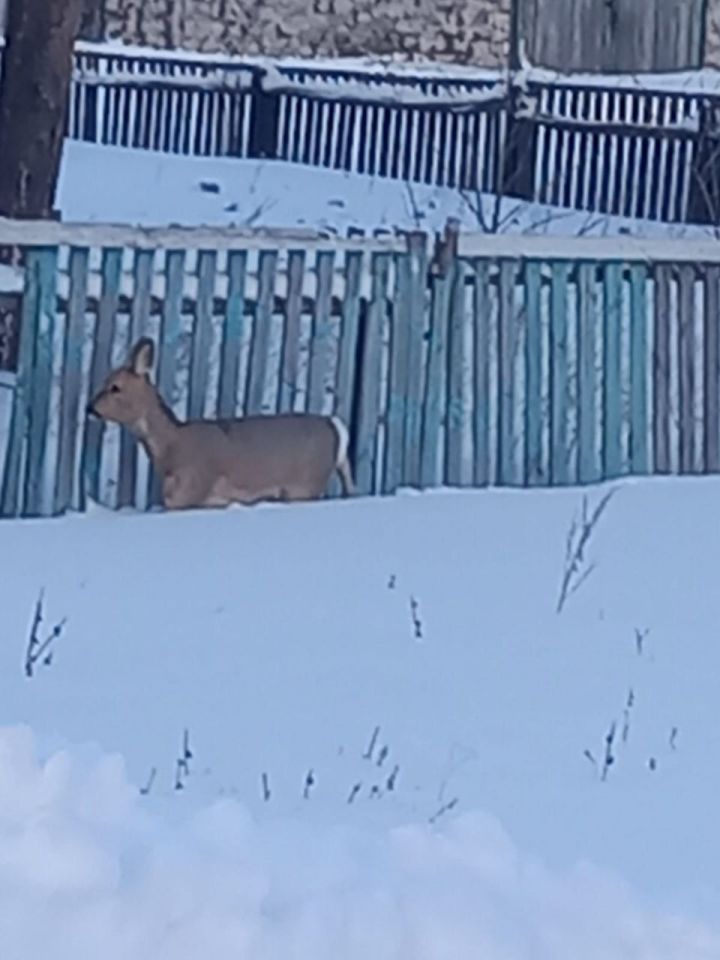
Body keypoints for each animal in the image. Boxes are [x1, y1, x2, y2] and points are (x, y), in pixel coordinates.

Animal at [87, 338, 354, 510]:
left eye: (115, 387)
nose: (89, 408)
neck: (172, 446)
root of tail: (335, 426)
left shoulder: (190, 490)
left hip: (305, 485)